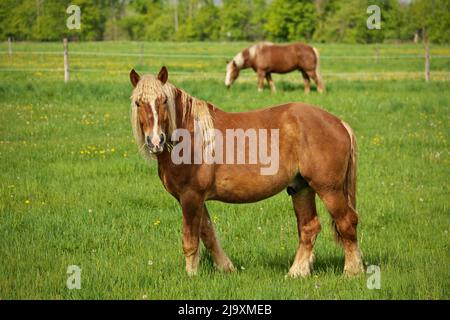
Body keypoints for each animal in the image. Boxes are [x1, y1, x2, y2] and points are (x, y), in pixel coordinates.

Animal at [129, 65, 362, 278]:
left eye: (163, 101)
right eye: (138, 103)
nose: (155, 141)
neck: (190, 136)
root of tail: (339, 123)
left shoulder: (190, 196)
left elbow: (191, 240)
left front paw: (191, 275)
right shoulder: (196, 198)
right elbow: (208, 234)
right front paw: (226, 268)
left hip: (329, 190)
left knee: (347, 222)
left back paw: (351, 272)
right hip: (301, 188)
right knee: (309, 228)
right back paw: (296, 272)